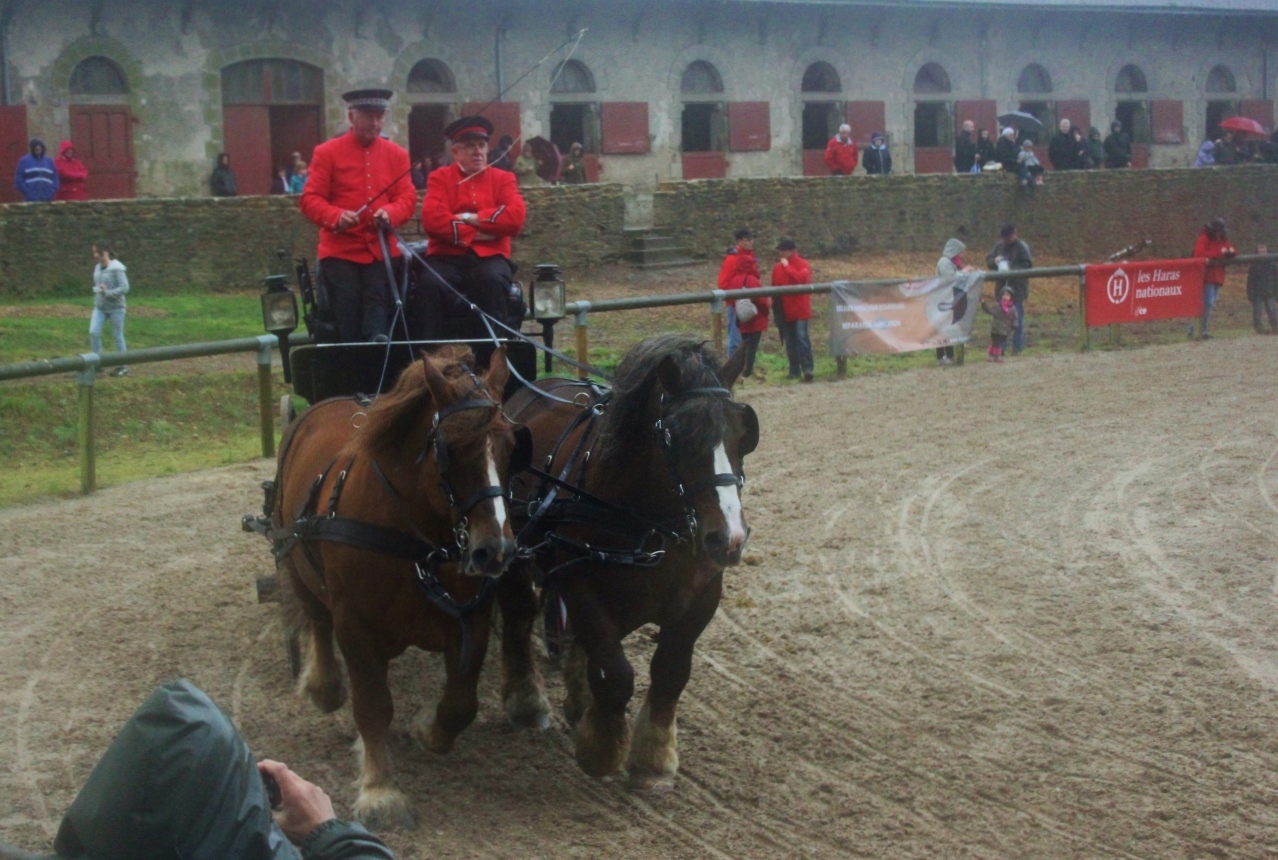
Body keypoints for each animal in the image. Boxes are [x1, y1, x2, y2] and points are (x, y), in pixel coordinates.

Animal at [269, 347, 549, 822]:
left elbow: (461, 704)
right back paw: (324, 685)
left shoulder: (472, 616)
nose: (495, 550)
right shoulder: (355, 626)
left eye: (513, 447)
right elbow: (372, 704)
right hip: (295, 559)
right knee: (316, 618)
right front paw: (379, 788)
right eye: (450, 448)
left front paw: (427, 731)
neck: (415, 541)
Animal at [498, 332, 756, 787]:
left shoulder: (703, 595)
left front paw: (653, 757)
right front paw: (601, 750)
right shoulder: (580, 582)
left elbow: (670, 671)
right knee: (518, 613)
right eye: (678, 436)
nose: (729, 538)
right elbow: (616, 675)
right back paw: (527, 702)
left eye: (745, 433)